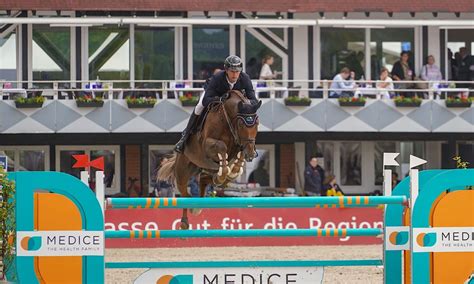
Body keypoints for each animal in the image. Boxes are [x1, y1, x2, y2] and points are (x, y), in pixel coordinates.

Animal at [157, 90, 262, 229]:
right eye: (240, 124)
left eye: (257, 123)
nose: (250, 153)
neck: (226, 119)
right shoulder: (206, 145)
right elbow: (222, 147)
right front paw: (227, 171)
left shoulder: (239, 145)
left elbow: (237, 156)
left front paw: (233, 171)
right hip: (182, 171)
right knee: (185, 192)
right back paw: (186, 219)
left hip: (206, 169)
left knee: (204, 179)